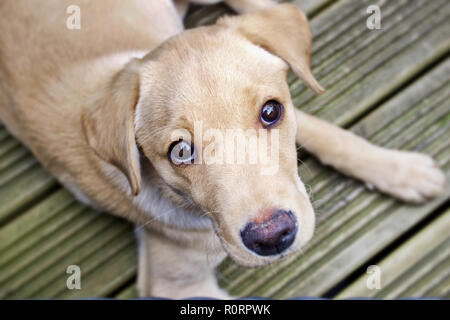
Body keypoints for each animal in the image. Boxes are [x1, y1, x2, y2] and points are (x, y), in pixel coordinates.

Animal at [0, 0, 446, 300]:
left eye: (271, 112)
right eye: (180, 152)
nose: (273, 237)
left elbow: (330, 133)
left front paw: (401, 170)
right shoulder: (174, 285)